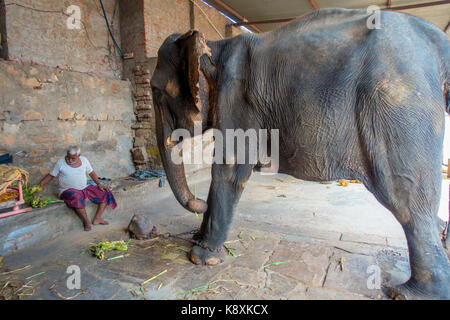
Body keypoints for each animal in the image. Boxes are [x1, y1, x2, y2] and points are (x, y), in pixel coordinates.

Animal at [150, 7, 450, 298]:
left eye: (156, 91)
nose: (198, 203)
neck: (215, 46)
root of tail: (438, 41)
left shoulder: (236, 97)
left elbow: (229, 169)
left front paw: (202, 258)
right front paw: (199, 242)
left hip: (397, 106)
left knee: (405, 198)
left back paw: (409, 293)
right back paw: (442, 237)